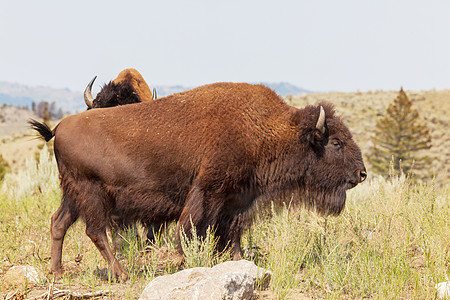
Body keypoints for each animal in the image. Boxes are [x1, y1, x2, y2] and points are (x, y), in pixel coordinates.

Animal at [29, 81, 366, 280]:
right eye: (336, 142)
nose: (361, 173)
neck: (266, 129)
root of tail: (59, 127)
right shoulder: (208, 192)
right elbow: (192, 229)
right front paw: (185, 261)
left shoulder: (236, 201)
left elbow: (231, 234)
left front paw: (237, 261)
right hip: (90, 193)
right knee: (96, 231)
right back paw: (122, 274)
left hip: (72, 195)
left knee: (58, 223)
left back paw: (57, 273)